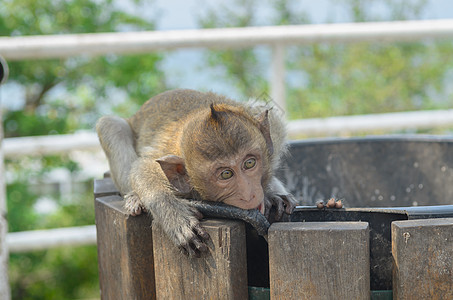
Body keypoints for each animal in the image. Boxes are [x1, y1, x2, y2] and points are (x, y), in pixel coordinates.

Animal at [95, 88, 296, 256]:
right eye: (226, 174)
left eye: (249, 163)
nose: (249, 194)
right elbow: (142, 168)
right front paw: (175, 217)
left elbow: (273, 120)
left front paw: (270, 194)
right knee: (111, 126)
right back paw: (135, 197)